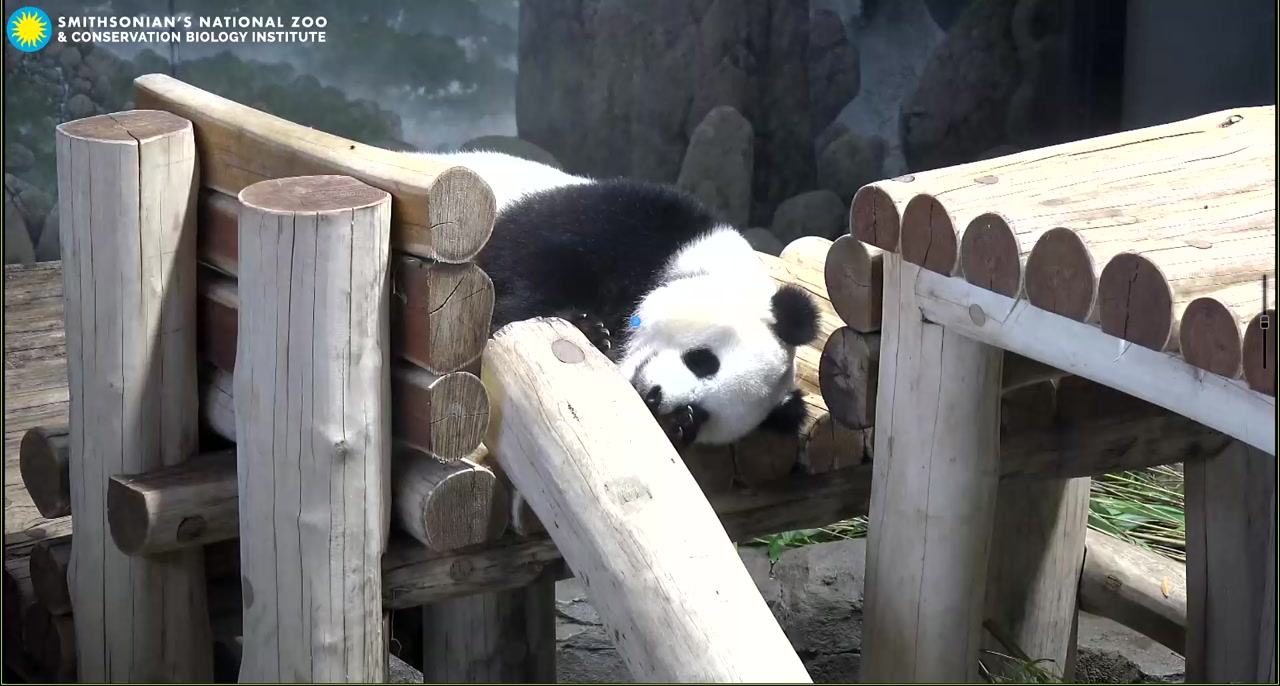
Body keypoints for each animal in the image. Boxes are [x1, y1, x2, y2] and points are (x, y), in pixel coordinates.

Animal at [414, 150, 820, 451]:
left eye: (703, 412)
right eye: (704, 361)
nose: (654, 397)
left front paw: (676, 425)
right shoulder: (635, 222)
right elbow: (523, 271)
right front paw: (588, 328)